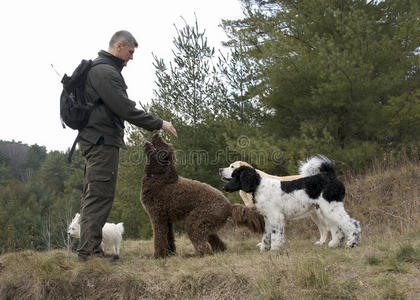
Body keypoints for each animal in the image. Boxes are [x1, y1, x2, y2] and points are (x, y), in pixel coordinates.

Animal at [223, 156, 360, 250]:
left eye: (235, 175)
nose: (224, 188)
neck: (259, 185)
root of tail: (331, 176)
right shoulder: (268, 218)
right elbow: (267, 235)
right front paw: (265, 248)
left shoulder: (276, 217)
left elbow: (276, 234)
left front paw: (275, 248)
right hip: (326, 210)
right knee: (337, 228)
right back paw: (335, 244)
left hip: (331, 208)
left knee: (352, 224)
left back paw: (352, 243)